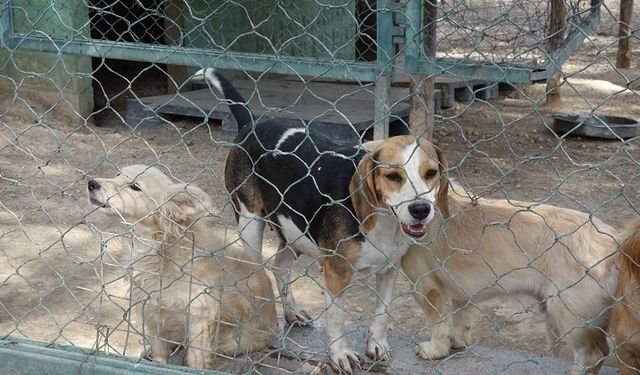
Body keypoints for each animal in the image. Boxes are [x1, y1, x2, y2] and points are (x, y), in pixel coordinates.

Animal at [86, 165, 276, 370]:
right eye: (117, 175)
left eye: (135, 186)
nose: (92, 183)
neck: (159, 247)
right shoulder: (153, 311)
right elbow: (160, 354)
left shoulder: (199, 317)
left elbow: (195, 358)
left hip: (235, 341)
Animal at [192, 69, 448, 374]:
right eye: (393, 176)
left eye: (431, 173)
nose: (420, 209)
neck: (383, 221)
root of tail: (252, 122)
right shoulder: (337, 272)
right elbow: (336, 318)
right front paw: (340, 354)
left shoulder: (390, 268)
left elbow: (382, 311)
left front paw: (376, 344)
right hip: (249, 221)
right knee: (257, 271)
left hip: (293, 230)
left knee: (280, 266)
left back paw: (292, 312)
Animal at [402, 181, 616, 374]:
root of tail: (613, 243)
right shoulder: (462, 294)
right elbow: (460, 321)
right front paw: (457, 342)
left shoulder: (424, 287)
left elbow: (437, 324)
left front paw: (435, 349)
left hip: (570, 317)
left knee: (593, 355)